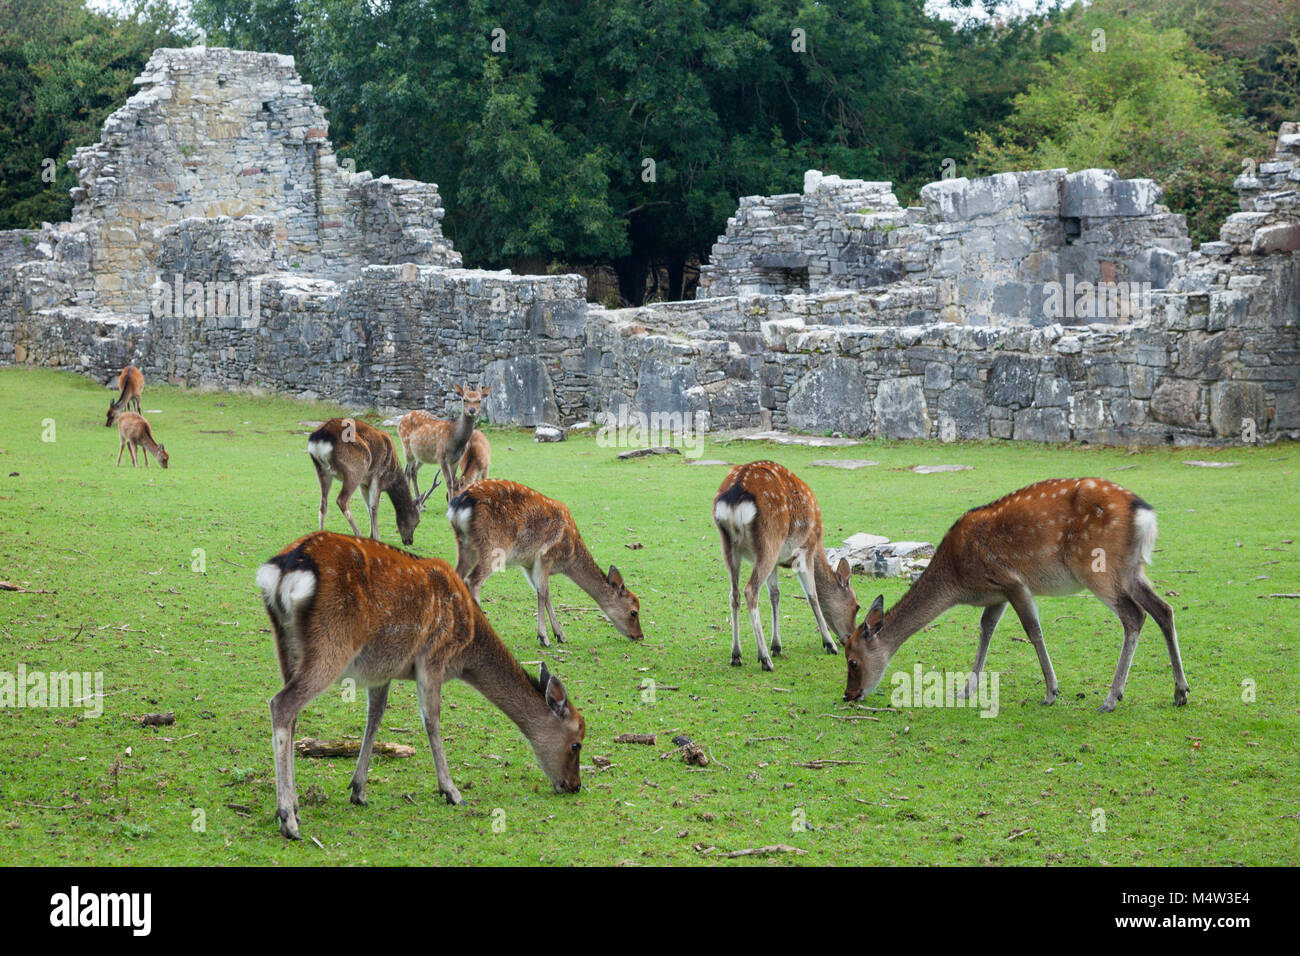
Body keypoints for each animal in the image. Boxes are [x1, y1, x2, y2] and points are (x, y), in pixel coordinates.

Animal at [258, 535, 585, 842]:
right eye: (576, 744)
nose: (575, 785)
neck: (466, 651)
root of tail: (284, 569)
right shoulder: (433, 659)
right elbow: (432, 720)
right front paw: (451, 791)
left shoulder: (382, 670)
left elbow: (375, 717)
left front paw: (358, 790)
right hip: (331, 645)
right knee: (281, 704)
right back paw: (288, 819)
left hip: (285, 648)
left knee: (292, 715)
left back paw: (294, 807)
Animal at [304, 418, 416, 546]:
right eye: (417, 520)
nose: (409, 541)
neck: (391, 475)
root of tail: (320, 436)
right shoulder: (377, 476)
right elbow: (374, 506)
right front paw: (377, 537)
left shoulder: (364, 483)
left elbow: (368, 506)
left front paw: (371, 535)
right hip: (356, 469)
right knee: (342, 500)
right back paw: (359, 534)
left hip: (321, 470)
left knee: (323, 503)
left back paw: (320, 535)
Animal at [447, 481, 644, 647]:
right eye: (634, 612)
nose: (640, 636)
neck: (569, 557)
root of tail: (459, 504)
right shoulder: (545, 556)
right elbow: (542, 593)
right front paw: (544, 637)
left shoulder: (528, 564)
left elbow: (545, 592)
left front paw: (560, 635)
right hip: (494, 546)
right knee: (473, 580)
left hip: (465, 545)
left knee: (457, 575)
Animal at [717, 460, 857, 671]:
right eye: (857, 606)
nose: (849, 639)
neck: (819, 545)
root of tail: (735, 494)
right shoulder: (806, 548)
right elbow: (812, 595)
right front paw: (829, 644)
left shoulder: (776, 563)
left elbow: (775, 595)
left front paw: (777, 646)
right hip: (769, 540)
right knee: (750, 590)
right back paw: (765, 659)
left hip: (729, 546)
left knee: (734, 594)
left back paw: (736, 655)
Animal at [842, 476, 1190, 712]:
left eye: (853, 661)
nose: (849, 694)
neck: (959, 580)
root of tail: (1144, 515)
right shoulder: (996, 595)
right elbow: (985, 630)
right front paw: (965, 690)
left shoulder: (1011, 581)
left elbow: (1032, 629)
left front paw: (1051, 692)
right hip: (1132, 569)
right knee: (1163, 609)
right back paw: (1180, 692)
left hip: (1095, 567)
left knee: (1134, 614)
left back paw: (1111, 697)